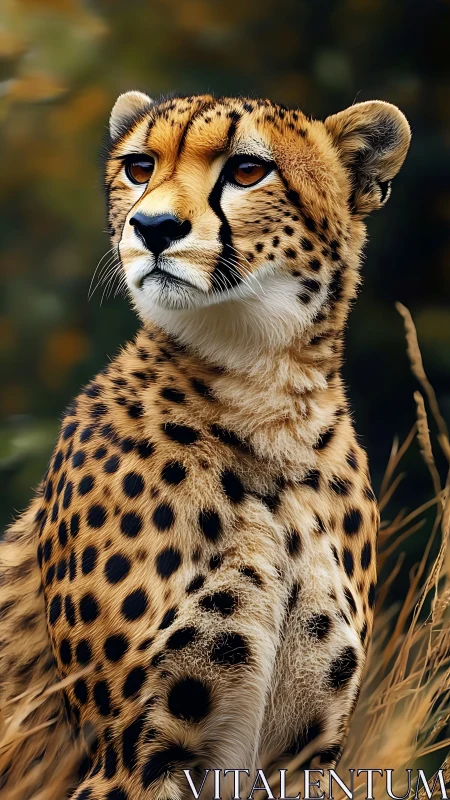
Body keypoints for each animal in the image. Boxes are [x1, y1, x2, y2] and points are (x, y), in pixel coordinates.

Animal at [0, 91, 410, 800]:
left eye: (248, 170)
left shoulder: (301, 759)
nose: (153, 227)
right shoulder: (131, 759)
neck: (269, 405)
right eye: (139, 166)